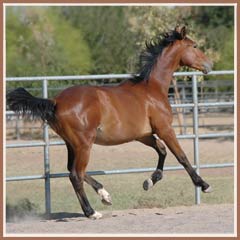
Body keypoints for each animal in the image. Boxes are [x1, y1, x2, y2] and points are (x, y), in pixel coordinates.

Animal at [6, 25, 212, 219]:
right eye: (194, 46)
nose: (209, 64)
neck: (152, 89)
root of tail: (55, 102)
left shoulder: (143, 135)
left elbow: (161, 150)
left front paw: (150, 181)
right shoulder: (165, 129)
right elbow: (181, 156)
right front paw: (203, 184)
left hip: (72, 144)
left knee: (73, 171)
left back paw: (104, 195)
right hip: (84, 144)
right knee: (76, 174)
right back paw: (91, 212)